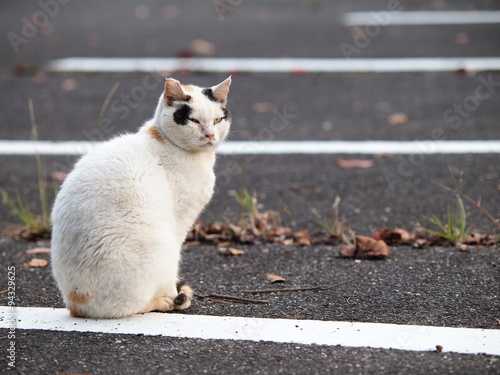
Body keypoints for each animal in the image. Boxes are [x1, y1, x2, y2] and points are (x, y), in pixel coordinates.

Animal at [50, 77, 230, 320]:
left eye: (217, 120)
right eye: (193, 120)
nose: (210, 135)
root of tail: (75, 302)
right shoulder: (180, 223)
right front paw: (175, 295)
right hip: (161, 248)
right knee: (132, 306)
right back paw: (167, 301)